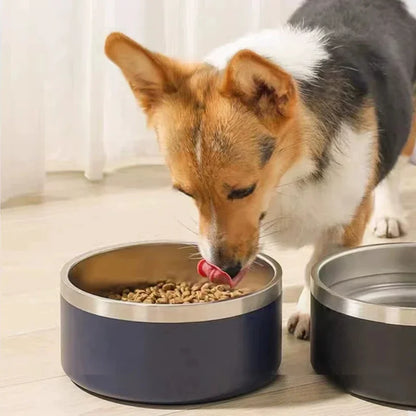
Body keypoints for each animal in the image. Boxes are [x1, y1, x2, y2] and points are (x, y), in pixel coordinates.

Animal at [105, 0, 416, 340]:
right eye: (186, 193)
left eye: (244, 190)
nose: (226, 270)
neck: (290, 173)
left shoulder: (345, 222)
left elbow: (315, 270)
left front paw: (308, 312)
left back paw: (390, 215)